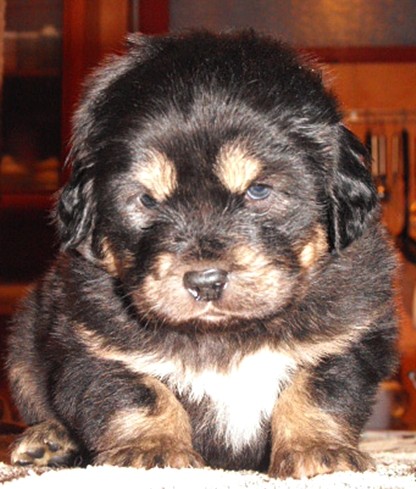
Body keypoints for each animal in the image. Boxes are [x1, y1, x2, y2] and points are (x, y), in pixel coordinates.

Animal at [7, 30, 398, 479]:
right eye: (146, 200)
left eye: (258, 190)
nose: (205, 282)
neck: (224, 335)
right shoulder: (93, 340)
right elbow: (142, 394)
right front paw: (152, 450)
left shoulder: (349, 334)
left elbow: (317, 391)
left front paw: (320, 451)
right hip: (22, 345)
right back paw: (48, 440)